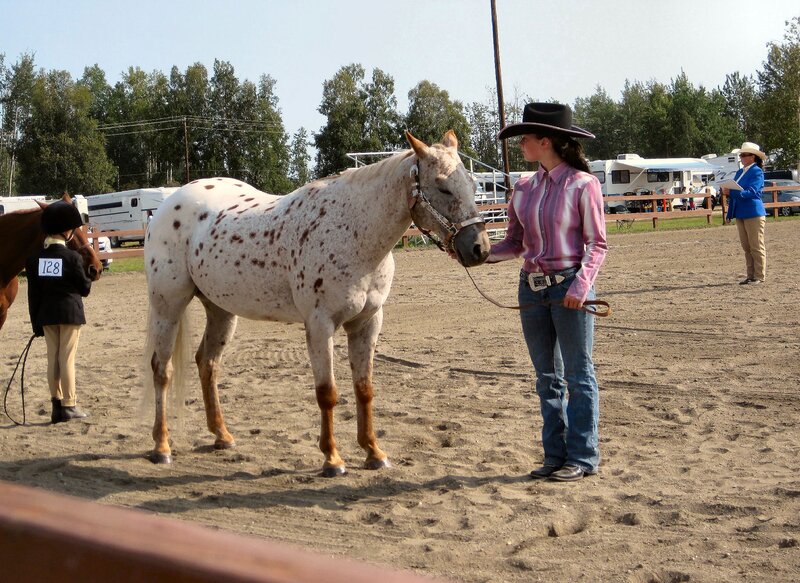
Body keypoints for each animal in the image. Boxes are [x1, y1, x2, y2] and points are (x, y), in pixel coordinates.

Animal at [144, 130, 490, 476]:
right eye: (443, 186)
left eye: (474, 185)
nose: (479, 248)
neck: (353, 232)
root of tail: (168, 205)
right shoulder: (320, 325)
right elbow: (327, 393)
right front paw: (332, 459)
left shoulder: (367, 323)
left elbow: (364, 388)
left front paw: (373, 452)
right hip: (167, 306)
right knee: (162, 370)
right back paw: (162, 447)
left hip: (220, 310)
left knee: (207, 363)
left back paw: (222, 436)